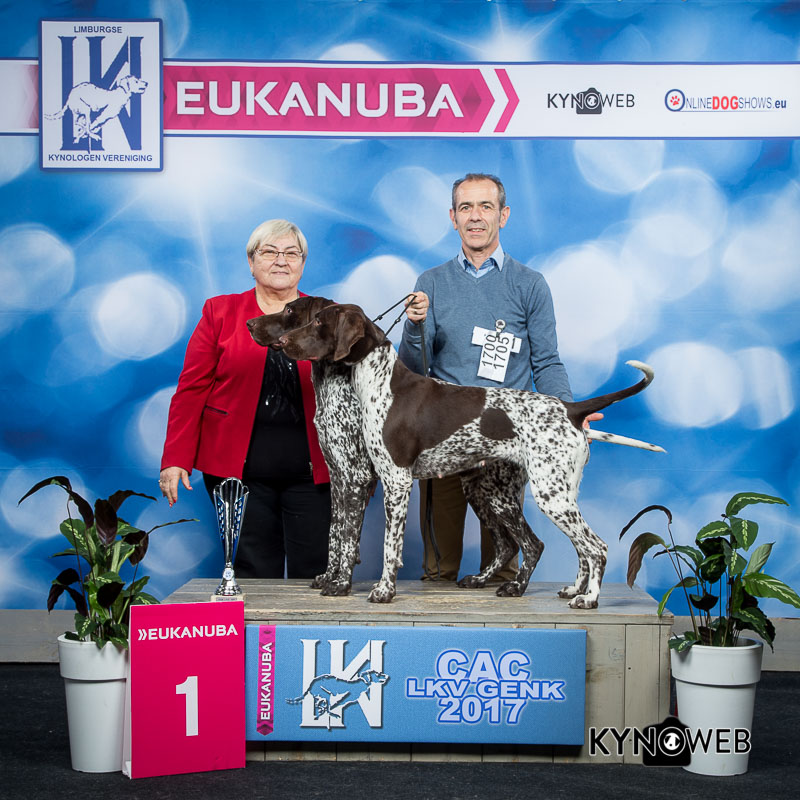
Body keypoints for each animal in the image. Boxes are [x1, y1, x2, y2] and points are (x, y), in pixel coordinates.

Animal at [248, 297, 539, 598]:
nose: (250, 324)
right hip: (482, 492)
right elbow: (335, 533)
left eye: (290, 310)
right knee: (509, 545)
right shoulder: (338, 478)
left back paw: (515, 585)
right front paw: (330, 576)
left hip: (499, 494)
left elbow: (352, 538)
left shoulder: (360, 478)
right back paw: (482, 580)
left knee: (530, 544)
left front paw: (342, 583)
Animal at [275, 303, 664, 607]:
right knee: (546, 546)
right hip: (512, 493)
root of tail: (570, 409)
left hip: (548, 495)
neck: (380, 383)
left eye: (318, 322)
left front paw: (383, 591)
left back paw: (589, 598)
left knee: (592, 547)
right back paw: (548, 588)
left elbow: (386, 546)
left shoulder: (394, 481)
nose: (282, 342)